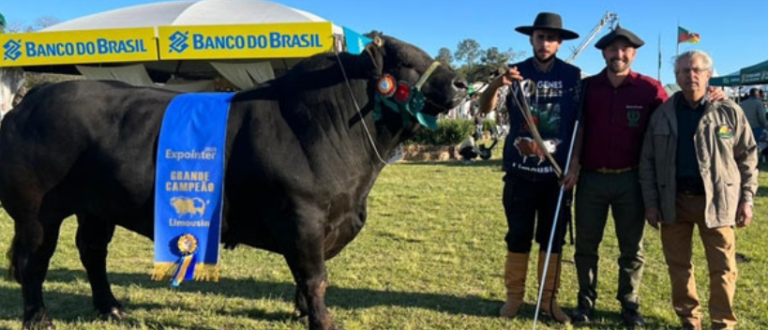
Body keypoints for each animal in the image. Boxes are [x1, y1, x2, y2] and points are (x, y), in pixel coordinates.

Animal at [0, 36, 468, 330]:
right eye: (406, 60)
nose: (462, 83)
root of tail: (28, 102)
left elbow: (304, 276)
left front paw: (302, 312)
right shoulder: (304, 216)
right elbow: (315, 276)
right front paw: (323, 321)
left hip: (97, 207)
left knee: (92, 252)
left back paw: (111, 308)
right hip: (36, 211)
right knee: (32, 261)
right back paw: (38, 318)